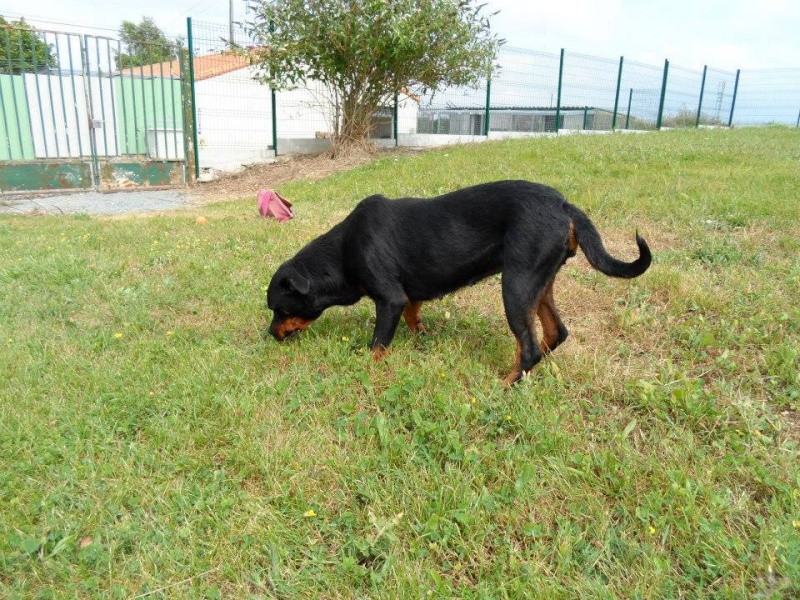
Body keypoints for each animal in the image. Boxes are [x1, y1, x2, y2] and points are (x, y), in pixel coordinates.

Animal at [268, 179, 648, 384]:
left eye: (278, 309)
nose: (270, 335)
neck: (344, 250)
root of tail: (564, 205)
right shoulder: (408, 295)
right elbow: (413, 316)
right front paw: (422, 336)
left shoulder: (389, 299)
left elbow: (377, 345)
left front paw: (366, 369)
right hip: (540, 282)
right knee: (555, 332)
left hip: (516, 284)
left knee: (527, 347)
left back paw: (506, 384)